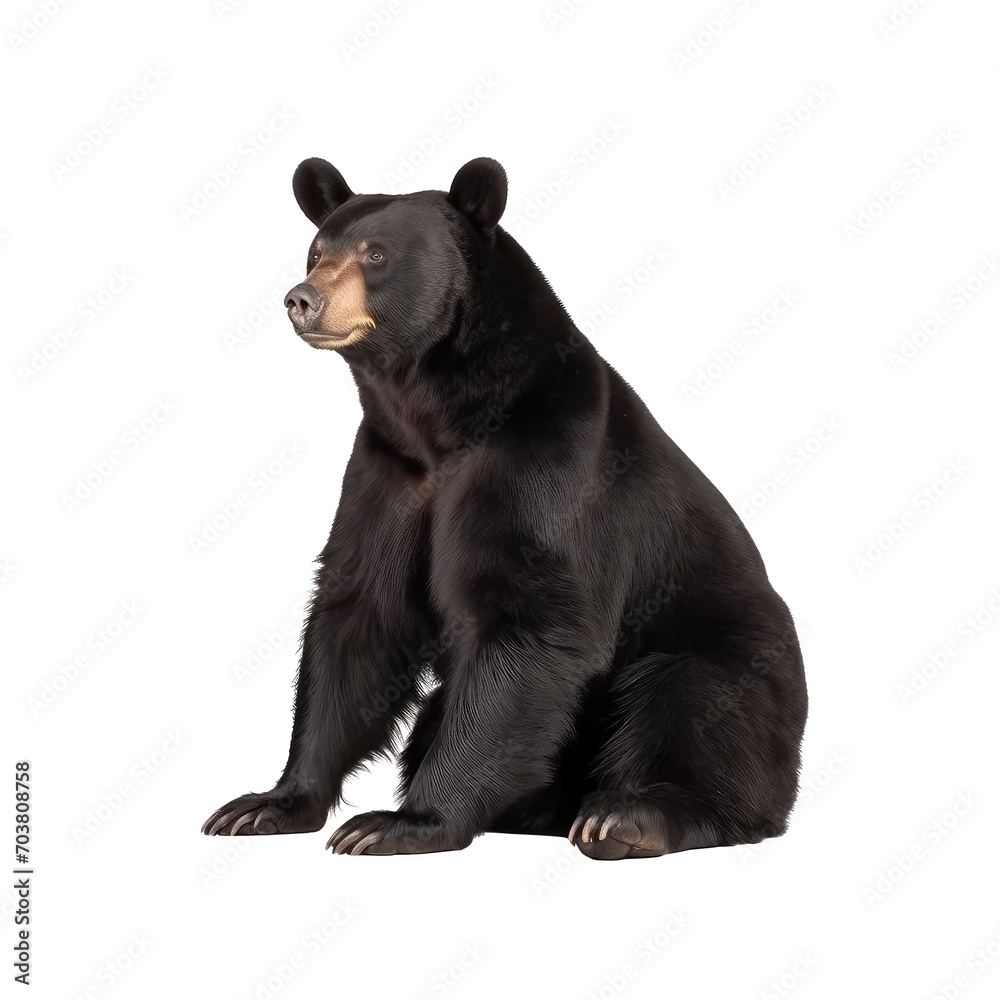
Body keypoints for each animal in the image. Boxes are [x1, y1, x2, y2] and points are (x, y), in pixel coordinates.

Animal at [202, 156, 808, 860]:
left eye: (376, 254)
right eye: (317, 250)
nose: (302, 298)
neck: (441, 418)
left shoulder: (546, 466)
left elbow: (530, 621)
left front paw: (401, 822)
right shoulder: (387, 473)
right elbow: (358, 615)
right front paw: (266, 804)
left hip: (735, 665)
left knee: (687, 702)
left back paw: (627, 817)